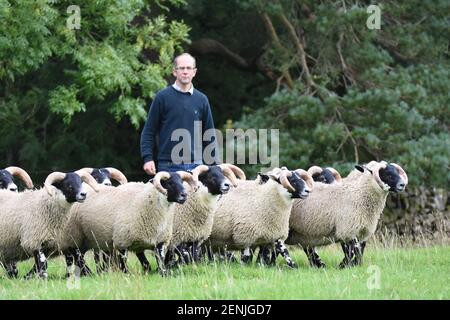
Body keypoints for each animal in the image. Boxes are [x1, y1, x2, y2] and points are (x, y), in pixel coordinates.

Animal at [62, 171, 193, 276]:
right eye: (169, 183)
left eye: (182, 181)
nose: (184, 195)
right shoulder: (122, 240)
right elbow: (124, 262)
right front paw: (127, 275)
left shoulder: (158, 241)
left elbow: (156, 261)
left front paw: (163, 273)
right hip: (73, 235)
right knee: (76, 255)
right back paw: (86, 272)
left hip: (86, 239)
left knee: (79, 255)